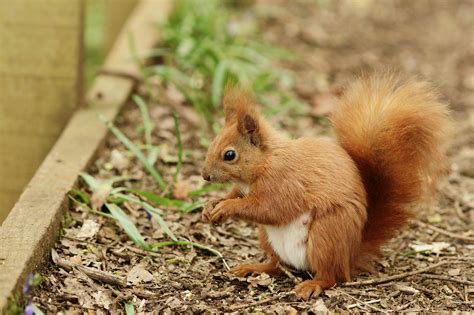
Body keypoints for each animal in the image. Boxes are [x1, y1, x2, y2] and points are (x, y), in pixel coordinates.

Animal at [200, 73, 452, 300]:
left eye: (229, 155)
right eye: (211, 143)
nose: (205, 176)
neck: (264, 163)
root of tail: (350, 255)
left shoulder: (284, 183)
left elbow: (269, 209)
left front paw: (226, 208)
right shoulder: (243, 188)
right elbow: (235, 194)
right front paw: (210, 206)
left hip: (326, 234)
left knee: (330, 276)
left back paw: (312, 285)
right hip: (268, 238)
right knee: (277, 265)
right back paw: (254, 268)